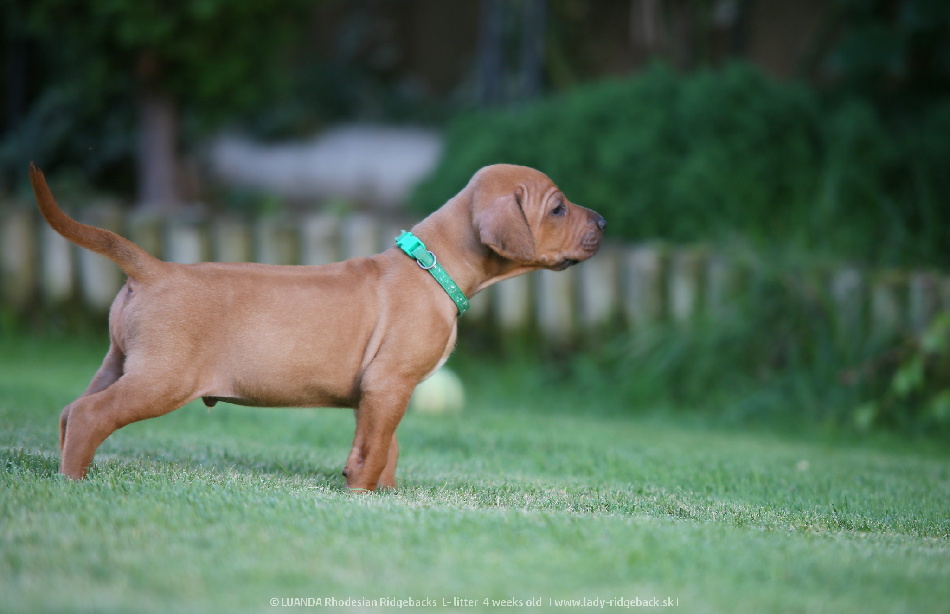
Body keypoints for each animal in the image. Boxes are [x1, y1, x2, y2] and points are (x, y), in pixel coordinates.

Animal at [31, 162, 608, 490]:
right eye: (558, 208)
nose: (603, 222)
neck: (432, 266)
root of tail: (153, 267)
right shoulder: (389, 382)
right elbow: (374, 451)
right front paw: (360, 495)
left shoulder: (379, 392)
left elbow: (384, 445)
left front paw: (385, 496)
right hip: (161, 378)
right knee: (90, 415)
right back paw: (74, 482)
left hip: (120, 362)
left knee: (70, 411)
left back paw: (65, 469)